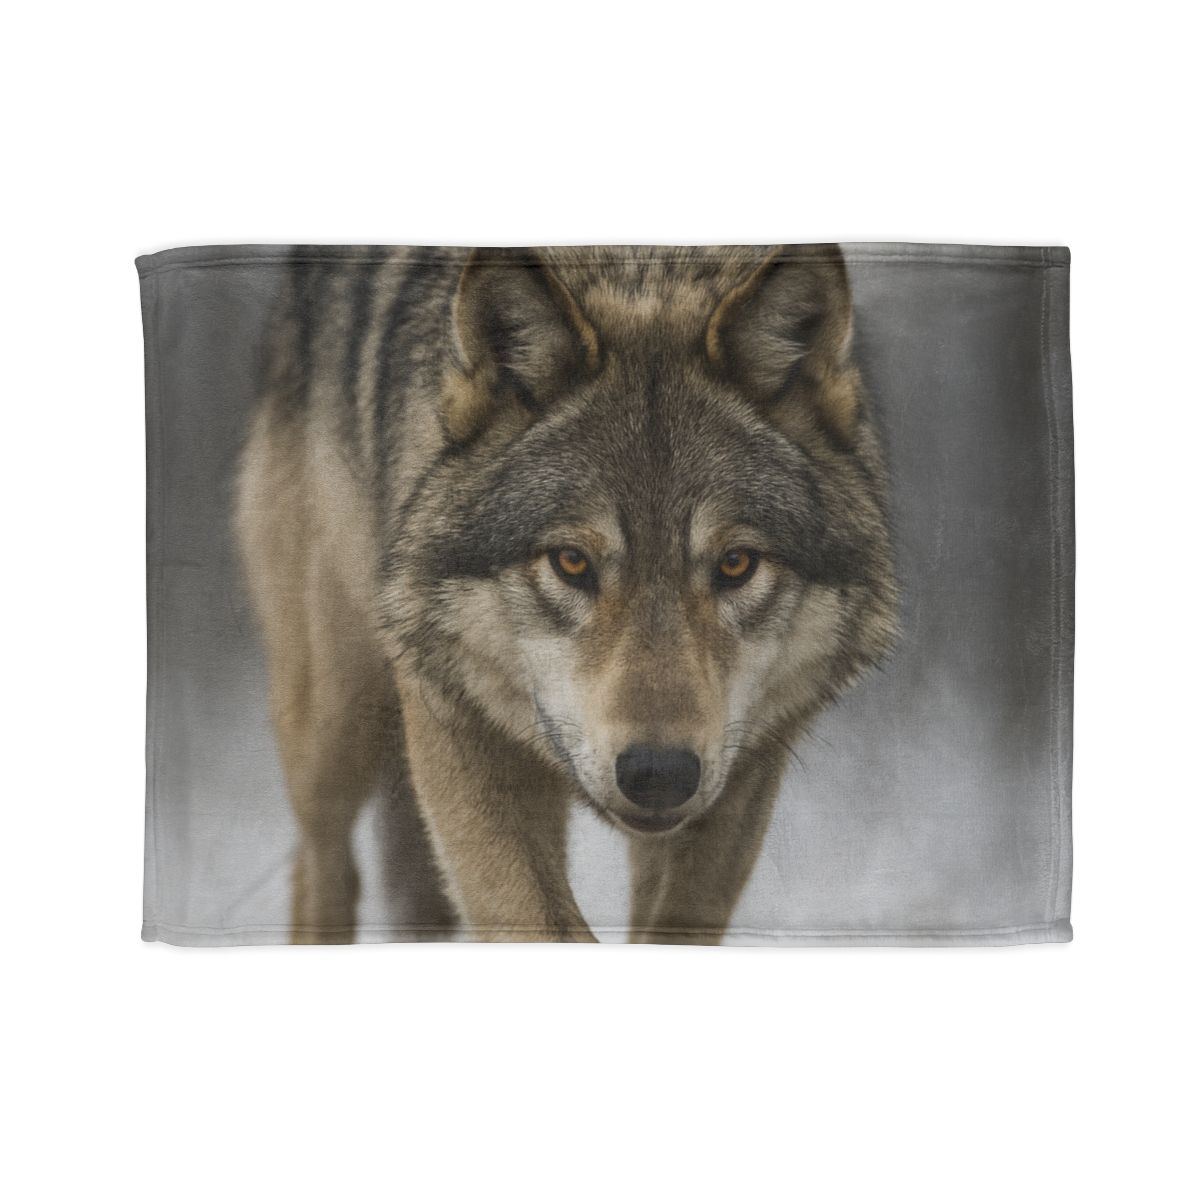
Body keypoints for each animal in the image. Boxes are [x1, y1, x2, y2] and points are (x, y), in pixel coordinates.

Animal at [235, 244, 898, 944]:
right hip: (335, 720)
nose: (658, 774)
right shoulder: (455, 725)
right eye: (572, 561)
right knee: (321, 865)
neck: (638, 270)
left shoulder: (744, 775)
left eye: (736, 564)